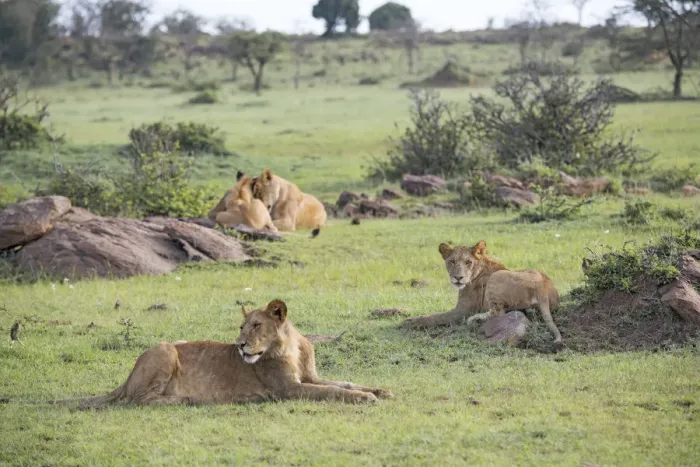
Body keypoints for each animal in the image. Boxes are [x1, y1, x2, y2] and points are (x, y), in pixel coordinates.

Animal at [77, 299, 392, 408]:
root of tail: (127, 378)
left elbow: (343, 383)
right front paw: (365, 398)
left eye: (256, 326)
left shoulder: (309, 377)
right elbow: (331, 391)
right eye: (242, 327)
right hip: (165, 348)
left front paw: (380, 390)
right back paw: (187, 399)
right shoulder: (289, 389)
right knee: (139, 399)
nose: (239, 345)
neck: (291, 347)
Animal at [400, 241, 563, 345]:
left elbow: (435, 317)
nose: (458, 278)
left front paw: (408, 322)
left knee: (497, 313)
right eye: (452, 262)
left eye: (468, 262)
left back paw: (474, 319)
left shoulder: (462, 311)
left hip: (496, 277)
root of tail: (542, 285)